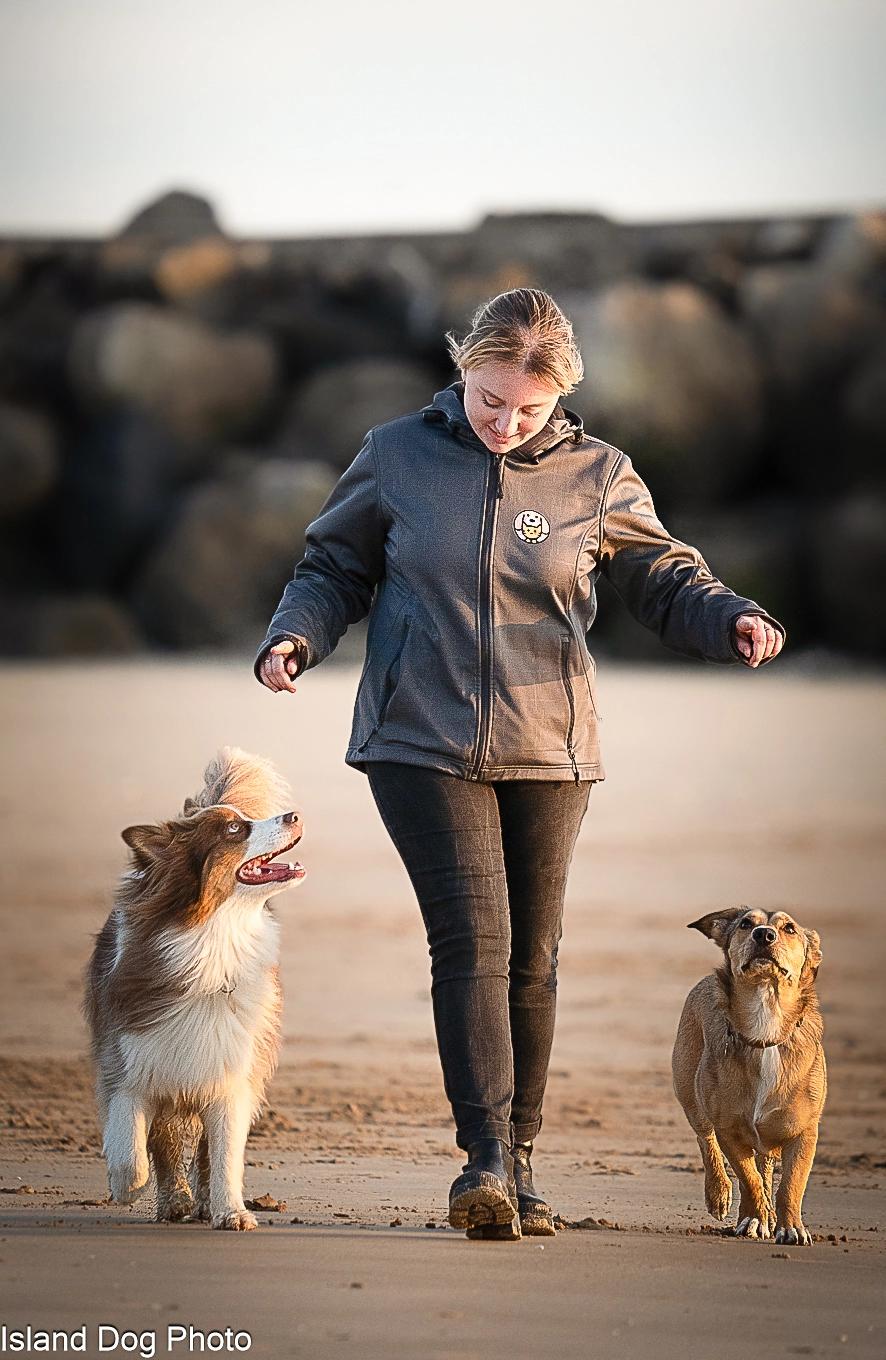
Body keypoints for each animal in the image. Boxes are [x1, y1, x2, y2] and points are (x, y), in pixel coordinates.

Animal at [84, 750, 304, 1229]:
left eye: (244, 820)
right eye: (235, 830)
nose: (296, 815)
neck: (211, 940)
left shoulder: (230, 1073)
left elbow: (224, 1155)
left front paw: (232, 1211)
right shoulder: (130, 1056)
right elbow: (130, 1134)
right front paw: (127, 1186)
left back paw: (202, 1203)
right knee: (164, 1139)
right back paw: (174, 1201)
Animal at [675, 903, 827, 1245]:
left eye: (789, 929)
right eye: (746, 924)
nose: (764, 934)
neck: (765, 1024)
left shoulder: (804, 1132)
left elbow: (790, 1185)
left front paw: (790, 1227)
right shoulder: (729, 1129)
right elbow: (749, 1178)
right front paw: (756, 1217)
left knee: (766, 1165)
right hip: (689, 1093)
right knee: (706, 1140)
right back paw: (723, 1197)